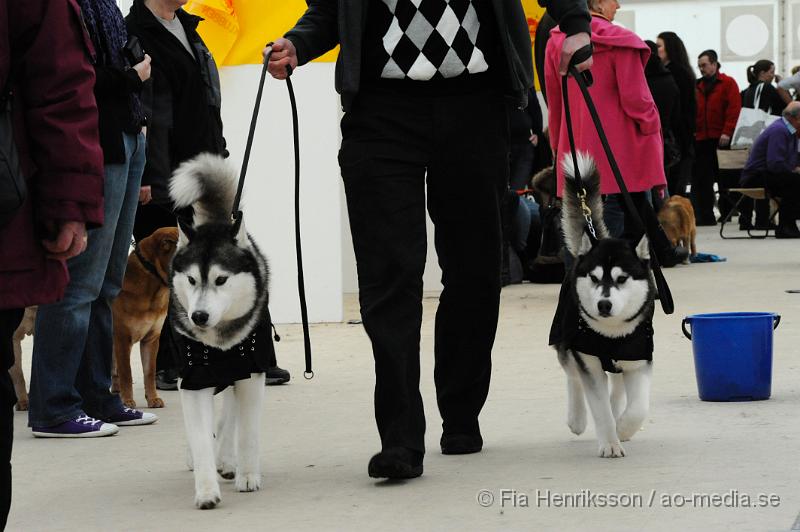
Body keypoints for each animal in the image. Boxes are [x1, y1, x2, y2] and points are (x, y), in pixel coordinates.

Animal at [112, 228, 178, 408]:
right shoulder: (122, 337)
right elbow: (126, 372)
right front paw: (128, 400)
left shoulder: (151, 338)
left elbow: (149, 371)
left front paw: (153, 398)